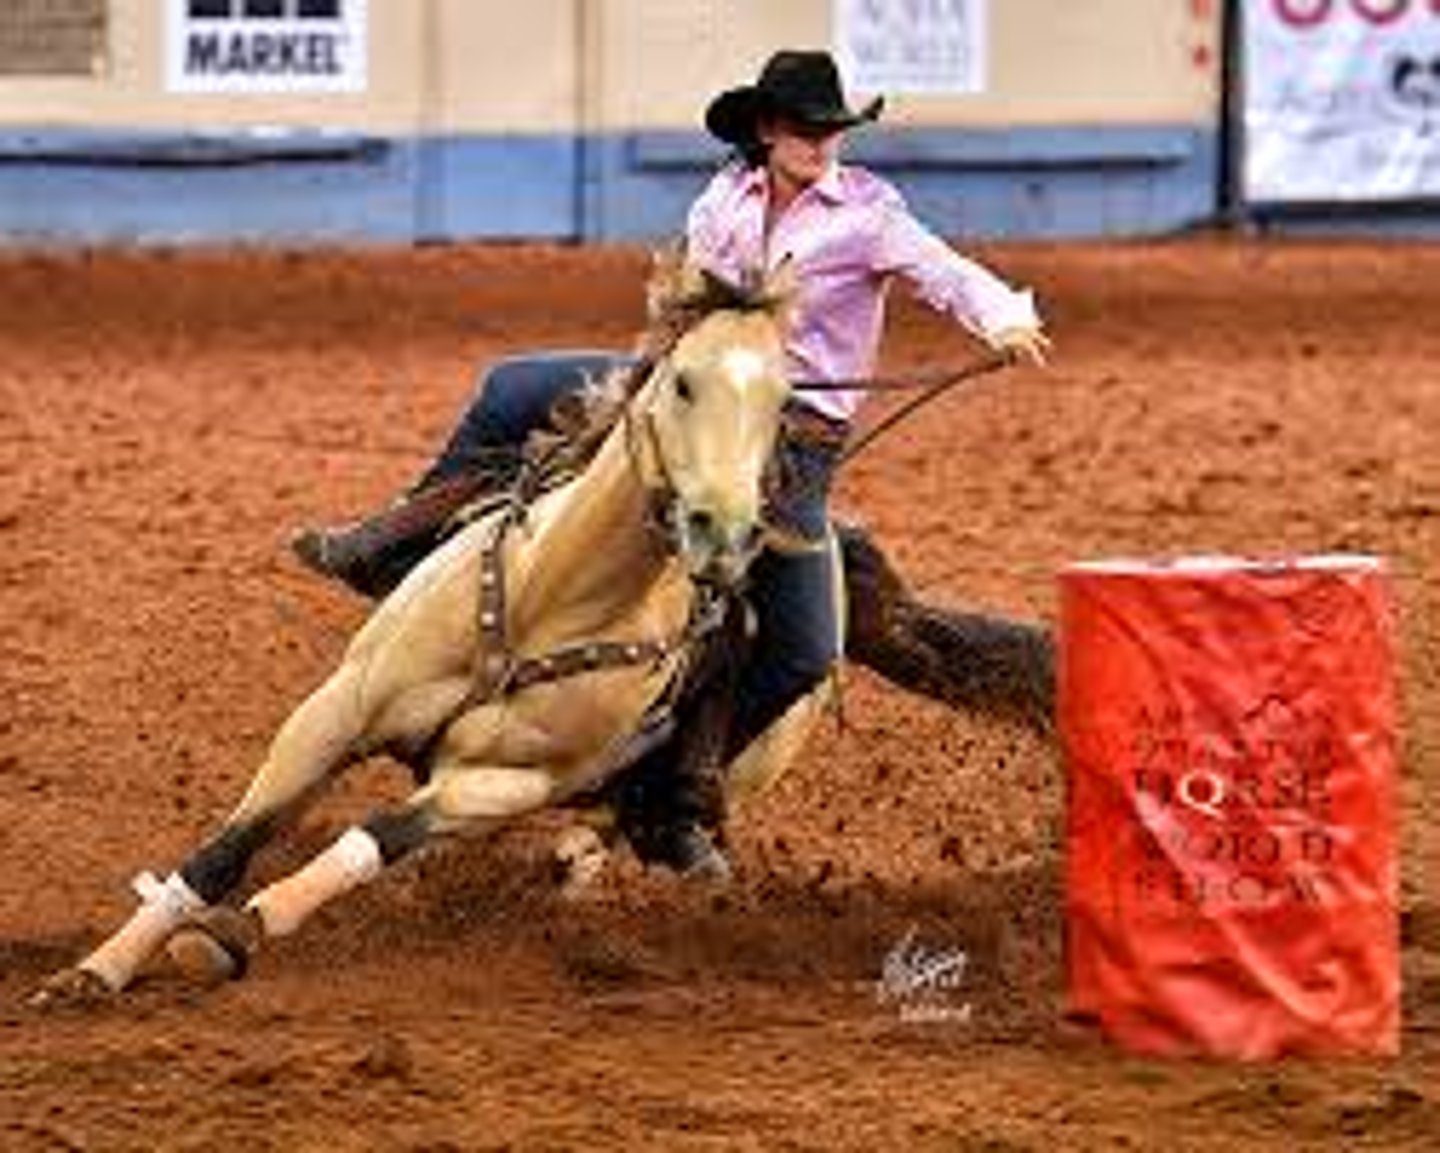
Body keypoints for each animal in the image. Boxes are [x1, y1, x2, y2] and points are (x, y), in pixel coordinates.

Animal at [35, 256, 815, 1002]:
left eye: (783, 404)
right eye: (684, 383)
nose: (724, 530)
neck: (549, 598)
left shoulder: (512, 783)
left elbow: (382, 832)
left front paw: (247, 923)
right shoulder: (335, 711)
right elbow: (226, 847)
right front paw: (100, 968)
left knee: (618, 823)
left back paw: (590, 857)